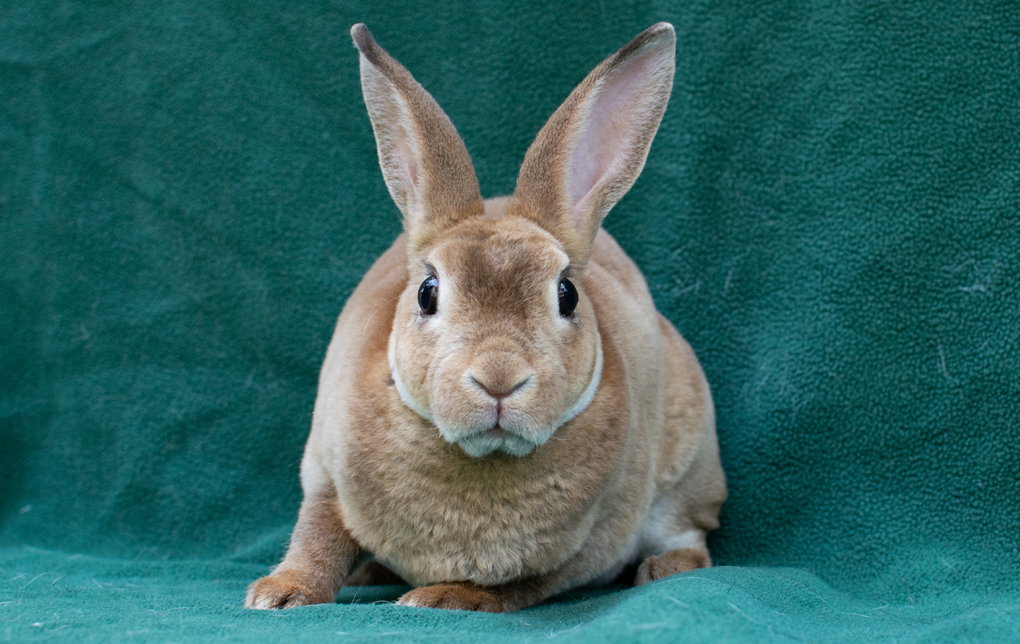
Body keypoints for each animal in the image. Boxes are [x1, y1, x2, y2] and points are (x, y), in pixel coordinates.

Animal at [245, 21, 726, 613]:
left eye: (567, 294)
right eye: (427, 292)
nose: (499, 379)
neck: (481, 456)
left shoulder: (583, 546)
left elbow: (521, 584)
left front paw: (441, 597)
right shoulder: (325, 473)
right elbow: (317, 534)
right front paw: (281, 594)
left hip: (686, 472)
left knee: (691, 537)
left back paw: (663, 569)